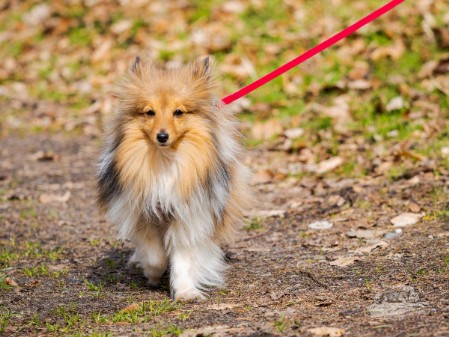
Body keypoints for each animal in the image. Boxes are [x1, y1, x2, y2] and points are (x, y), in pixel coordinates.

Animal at [96, 56, 250, 300]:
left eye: (178, 112)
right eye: (149, 112)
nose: (162, 136)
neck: (164, 160)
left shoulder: (189, 215)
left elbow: (184, 257)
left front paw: (186, 292)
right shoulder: (143, 213)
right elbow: (154, 256)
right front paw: (153, 274)